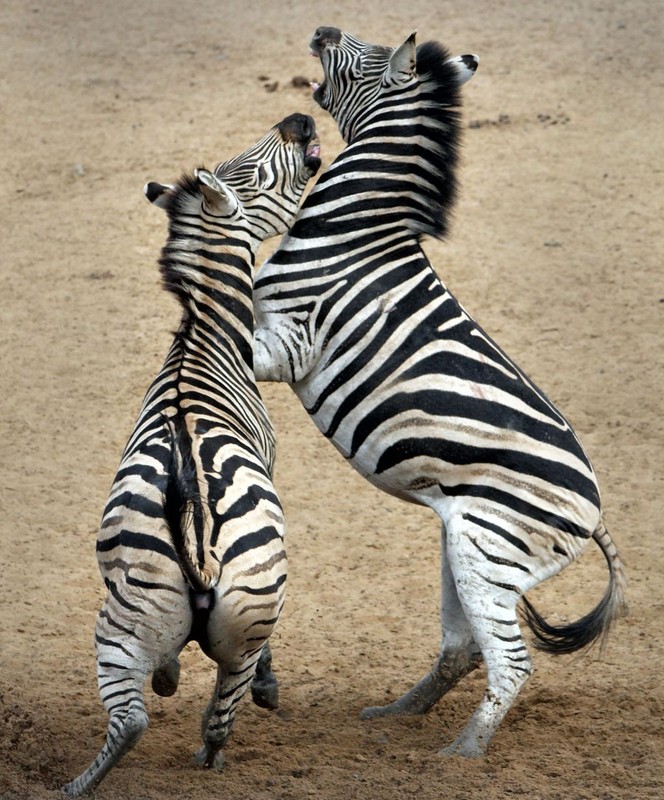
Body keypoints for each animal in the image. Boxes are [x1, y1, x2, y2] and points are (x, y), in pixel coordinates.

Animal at [62, 111, 322, 792]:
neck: (199, 342)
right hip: (241, 610)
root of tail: (199, 517)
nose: (300, 120)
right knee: (206, 716)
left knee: (143, 715)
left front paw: (171, 672)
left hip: (134, 616)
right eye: (249, 171)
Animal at [250, 28, 628, 756]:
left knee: (510, 661)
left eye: (363, 55)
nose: (322, 32)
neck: (358, 226)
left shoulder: (290, 342)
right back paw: (399, 714)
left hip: (486, 548)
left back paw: (462, 755)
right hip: (468, 544)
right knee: (465, 649)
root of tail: (595, 513)